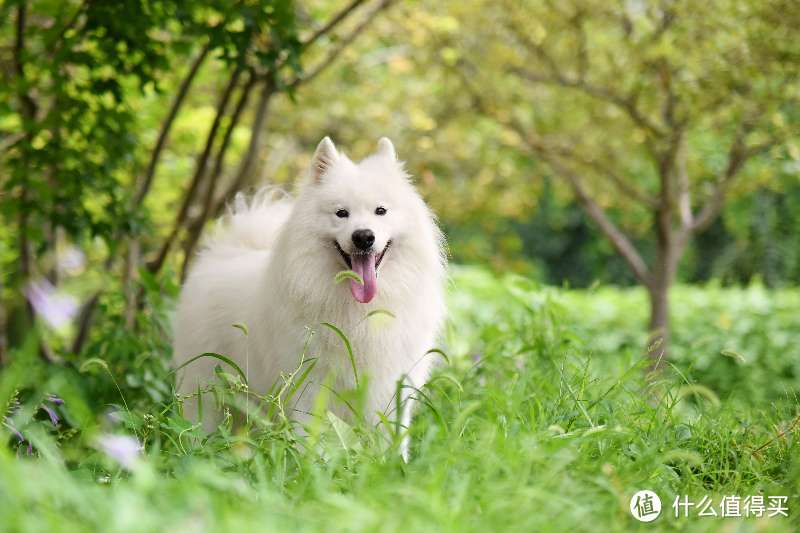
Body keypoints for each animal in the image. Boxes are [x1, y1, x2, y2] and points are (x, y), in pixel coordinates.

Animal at [174, 137, 446, 454]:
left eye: (381, 211)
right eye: (341, 213)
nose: (363, 236)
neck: (358, 309)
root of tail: (226, 253)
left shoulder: (391, 385)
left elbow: (391, 436)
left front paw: (392, 464)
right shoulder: (309, 385)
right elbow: (309, 436)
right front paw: (310, 464)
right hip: (204, 387)